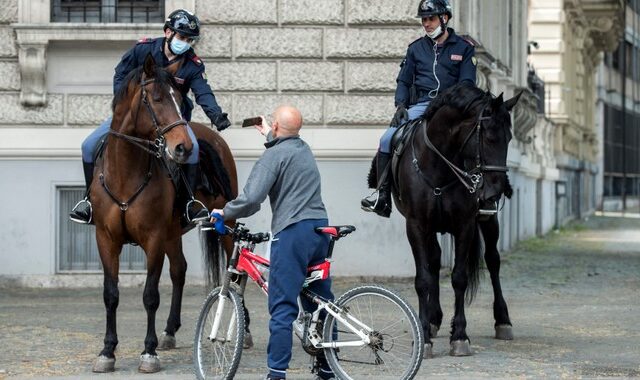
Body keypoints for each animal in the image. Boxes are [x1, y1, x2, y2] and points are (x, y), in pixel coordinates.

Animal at [90, 55, 238, 372]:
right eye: (156, 98)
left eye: (179, 98)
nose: (184, 147)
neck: (126, 174)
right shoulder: (106, 238)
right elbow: (110, 294)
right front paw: (108, 351)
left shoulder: (154, 239)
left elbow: (150, 295)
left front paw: (149, 352)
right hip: (173, 233)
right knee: (179, 270)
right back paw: (170, 331)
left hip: (226, 225)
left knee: (233, 277)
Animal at [376, 82, 520, 356]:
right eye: (489, 137)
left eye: (509, 138)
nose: (495, 191)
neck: (439, 166)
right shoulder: (416, 225)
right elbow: (423, 277)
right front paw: (424, 334)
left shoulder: (465, 225)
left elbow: (459, 278)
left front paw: (460, 336)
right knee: (433, 261)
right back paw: (433, 319)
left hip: (487, 223)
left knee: (493, 261)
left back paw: (503, 320)